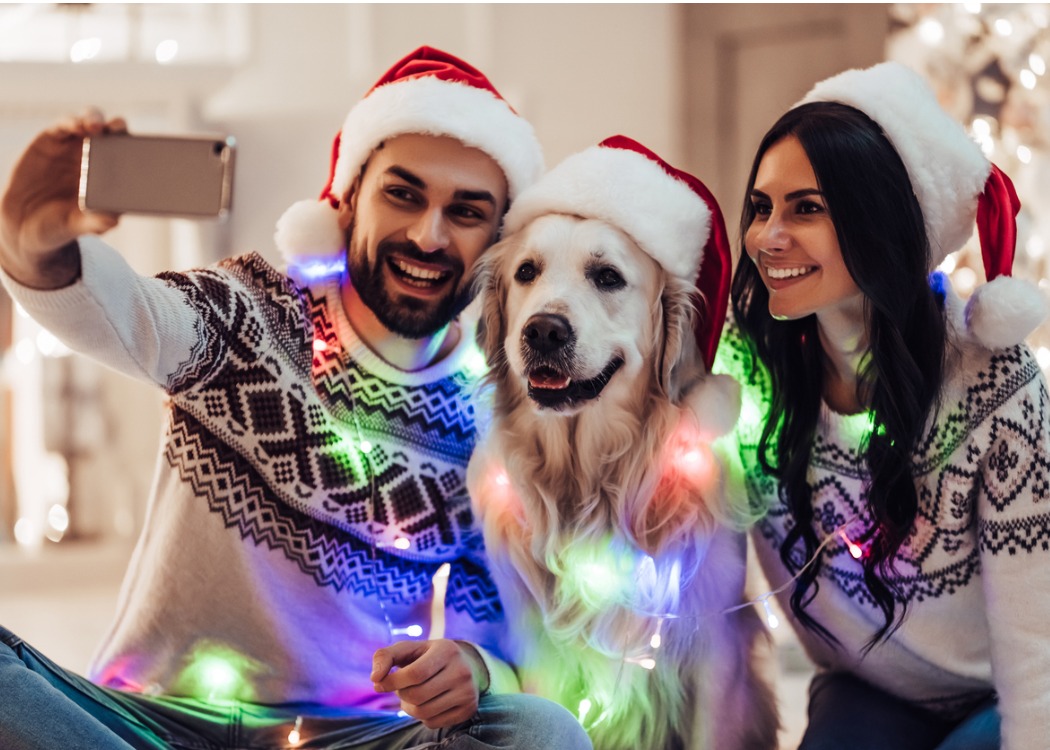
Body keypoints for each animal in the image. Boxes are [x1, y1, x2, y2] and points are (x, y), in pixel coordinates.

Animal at [468, 212, 781, 747]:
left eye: (608, 277)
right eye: (526, 271)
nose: (543, 331)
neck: (592, 477)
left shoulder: (716, 652)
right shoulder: (540, 651)